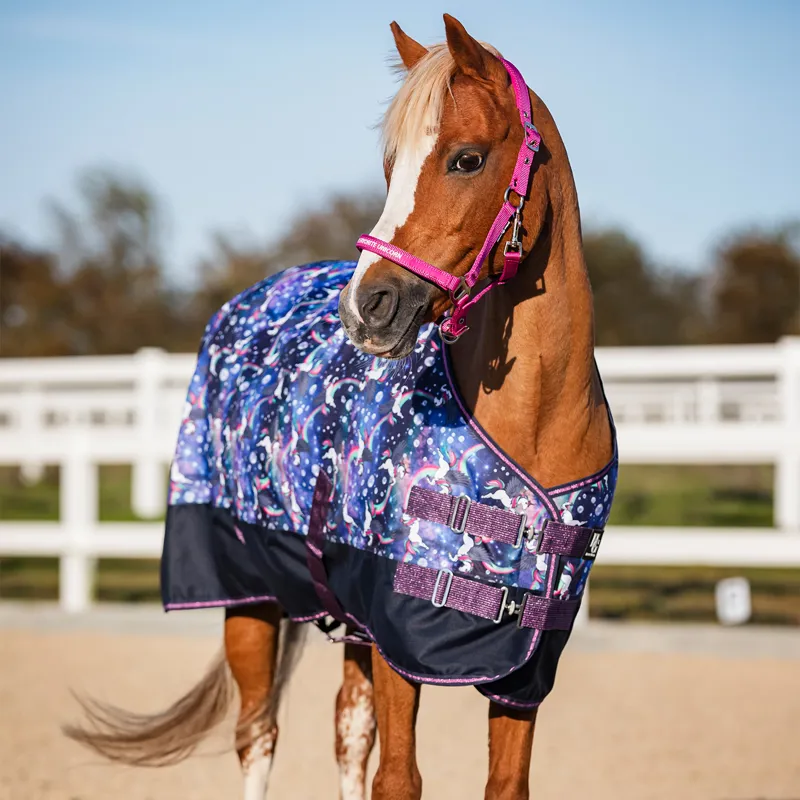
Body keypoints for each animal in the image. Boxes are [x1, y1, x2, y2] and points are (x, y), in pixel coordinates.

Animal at [64, 14, 616, 800]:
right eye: (390, 168)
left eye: (466, 159)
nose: (367, 306)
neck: (536, 425)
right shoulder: (396, 636)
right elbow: (399, 778)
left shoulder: (522, 669)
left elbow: (494, 781)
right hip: (247, 601)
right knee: (258, 734)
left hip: (346, 621)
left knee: (346, 733)